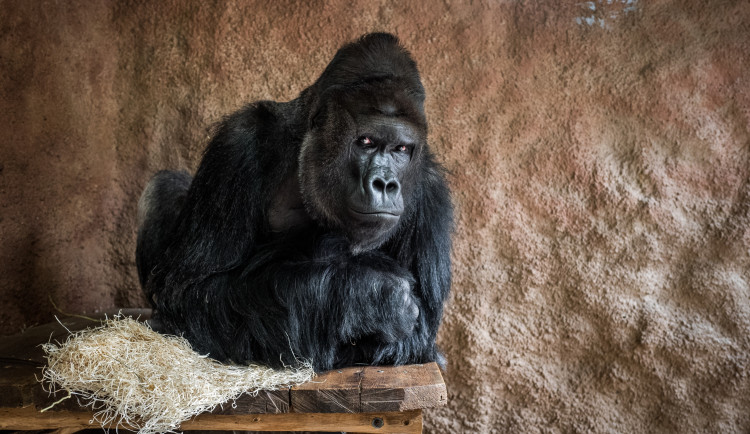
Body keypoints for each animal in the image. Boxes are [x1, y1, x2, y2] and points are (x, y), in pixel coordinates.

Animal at [134, 34, 452, 372]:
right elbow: (192, 290)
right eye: (365, 142)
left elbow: (418, 338)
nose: (385, 184)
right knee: (163, 187)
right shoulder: (239, 141)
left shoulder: (433, 190)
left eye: (401, 149)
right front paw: (372, 297)